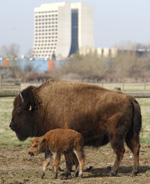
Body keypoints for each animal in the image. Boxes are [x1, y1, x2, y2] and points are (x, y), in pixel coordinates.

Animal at [9, 79, 142, 177]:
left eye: (19, 109)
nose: (11, 125)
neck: (44, 105)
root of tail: (130, 99)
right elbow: (69, 157)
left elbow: (67, 158)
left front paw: (66, 173)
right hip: (131, 134)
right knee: (135, 148)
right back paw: (133, 172)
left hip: (116, 136)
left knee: (120, 151)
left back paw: (113, 172)